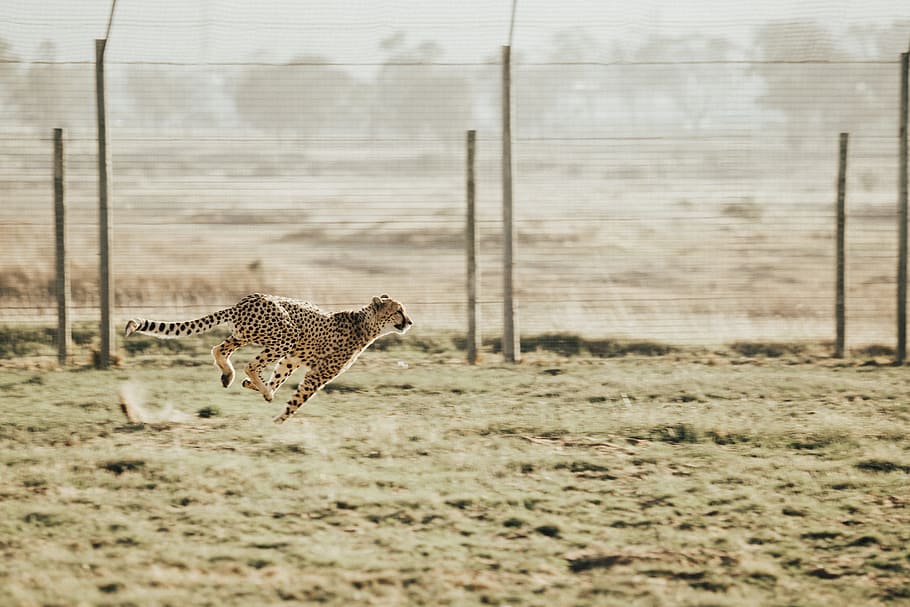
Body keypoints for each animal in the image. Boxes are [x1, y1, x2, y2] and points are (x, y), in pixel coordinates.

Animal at [124, 293, 413, 423]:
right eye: (398, 311)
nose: (409, 321)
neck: (365, 324)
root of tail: (245, 300)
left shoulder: (293, 359)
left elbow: (279, 376)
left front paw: (259, 389)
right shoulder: (317, 374)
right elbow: (297, 400)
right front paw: (278, 420)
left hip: (247, 335)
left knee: (219, 349)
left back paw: (230, 376)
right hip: (286, 334)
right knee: (250, 364)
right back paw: (256, 385)